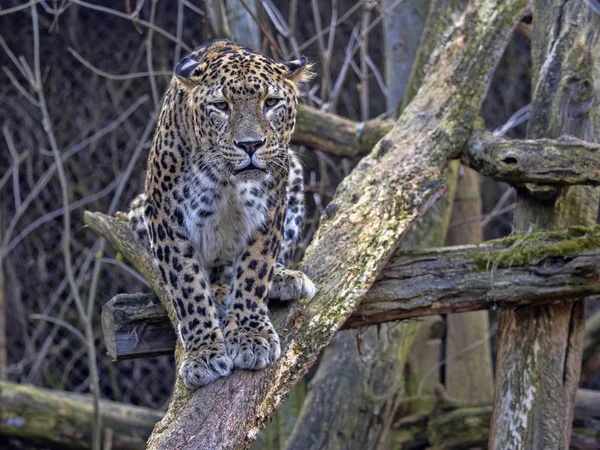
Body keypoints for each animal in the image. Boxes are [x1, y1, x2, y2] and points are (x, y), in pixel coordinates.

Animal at [126, 39, 316, 390]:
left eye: (271, 102)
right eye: (221, 105)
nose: (250, 145)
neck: (227, 180)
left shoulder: (271, 207)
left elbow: (255, 270)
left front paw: (251, 335)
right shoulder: (164, 216)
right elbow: (186, 285)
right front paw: (203, 354)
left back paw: (283, 278)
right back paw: (219, 292)